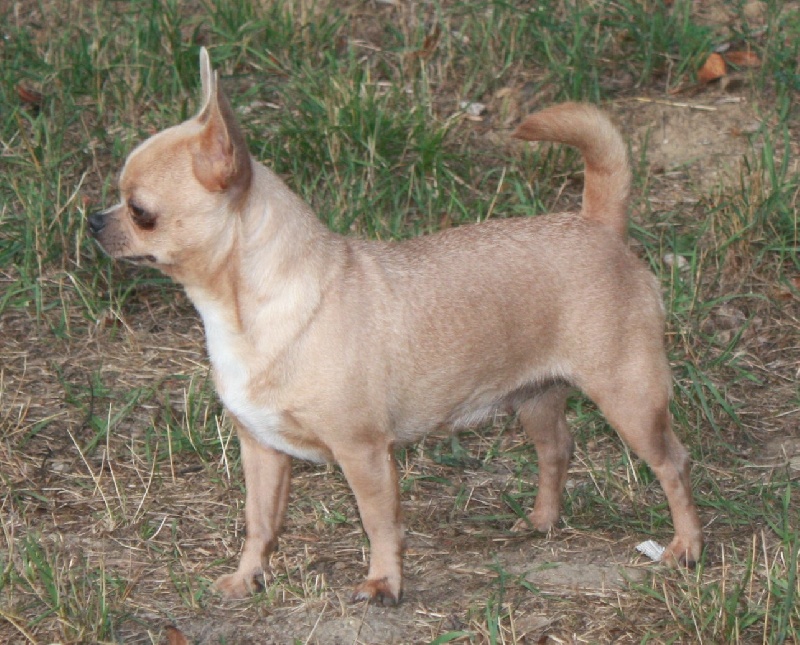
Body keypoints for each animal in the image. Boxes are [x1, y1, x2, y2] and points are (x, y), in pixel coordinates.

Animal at [89, 46, 700, 604]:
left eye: (140, 211)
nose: (95, 220)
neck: (246, 307)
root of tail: (599, 225)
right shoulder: (261, 450)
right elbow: (260, 521)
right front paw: (247, 577)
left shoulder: (363, 454)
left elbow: (379, 522)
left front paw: (384, 583)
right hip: (536, 397)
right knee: (557, 450)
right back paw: (543, 520)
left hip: (629, 399)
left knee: (672, 464)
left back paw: (686, 547)